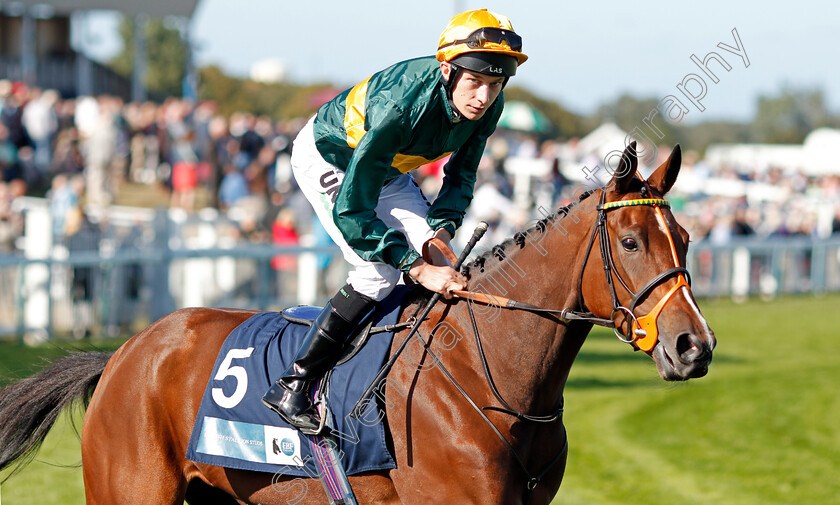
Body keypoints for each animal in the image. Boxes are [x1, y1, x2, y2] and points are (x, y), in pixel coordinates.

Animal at [0, 143, 716, 504]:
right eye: (630, 242)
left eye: (684, 237)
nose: (695, 345)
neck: (486, 378)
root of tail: (123, 354)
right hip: (132, 491)